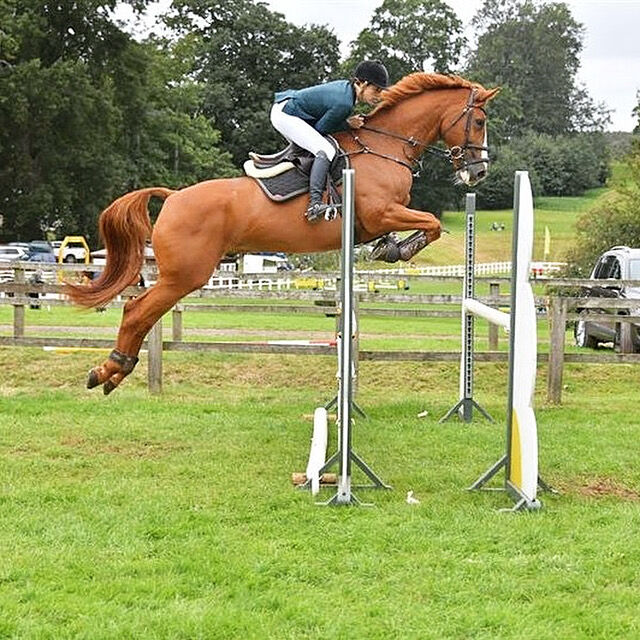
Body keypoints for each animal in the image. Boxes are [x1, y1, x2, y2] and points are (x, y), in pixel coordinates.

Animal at [69, 72, 500, 392]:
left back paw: (113, 371)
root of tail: (172, 197)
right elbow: (433, 223)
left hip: (183, 274)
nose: (478, 173)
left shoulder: (381, 220)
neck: (384, 148)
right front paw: (398, 251)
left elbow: (426, 225)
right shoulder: (383, 213)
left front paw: (390, 249)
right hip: (185, 274)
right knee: (137, 310)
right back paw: (110, 370)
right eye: (479, 122)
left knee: (140, 310)